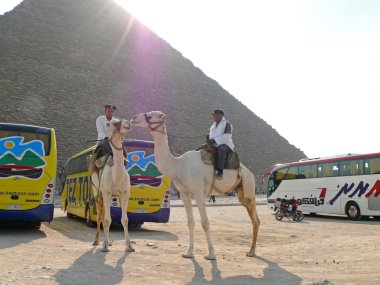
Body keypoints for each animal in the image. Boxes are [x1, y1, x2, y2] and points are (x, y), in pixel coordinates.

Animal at [91, 118, 135, 252]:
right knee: (100, 215)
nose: (128, 123)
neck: (116, 175)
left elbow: (125, 219)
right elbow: (106, 219)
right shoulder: (106, 192)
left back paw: (109, 241)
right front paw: (104, 245)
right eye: (115, 123)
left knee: (104, 214)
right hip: (96, 190)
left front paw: (129, 246)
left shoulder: (125, 193)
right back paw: (97, 241)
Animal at [132, 111, 260, 260]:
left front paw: (211, 254)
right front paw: (188, 252)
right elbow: (190, 222)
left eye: (151, 115)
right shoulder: (184, 193)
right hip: (240, 193)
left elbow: (205, 223)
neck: (179, 165)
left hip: (249, 187)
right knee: (254, 219)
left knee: (255, 219)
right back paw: (251, 251)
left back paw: (252, 251)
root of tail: (249, 172)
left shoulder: (198, 192)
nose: (134, 118)